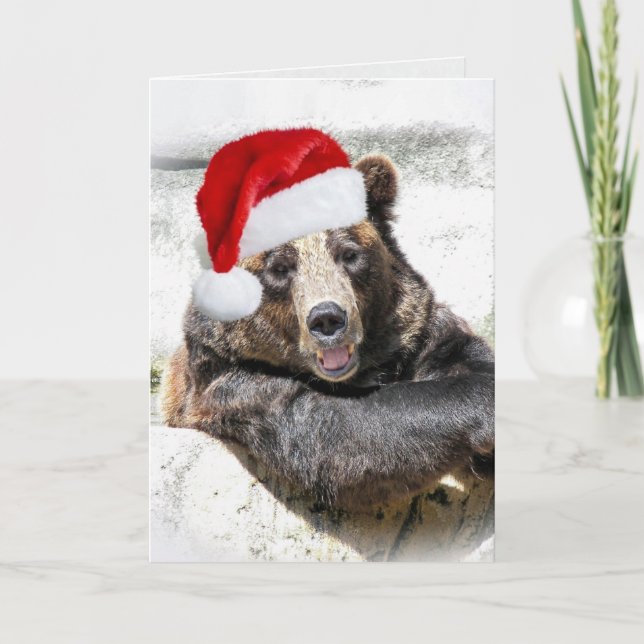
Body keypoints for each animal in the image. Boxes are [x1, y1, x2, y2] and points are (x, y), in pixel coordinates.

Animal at [161, 154, 494, 510]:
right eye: (280, 266)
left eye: (348, 253)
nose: (327, 319)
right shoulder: (234, 383)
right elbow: (338, 435)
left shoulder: (418, 334)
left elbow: (461, 355)